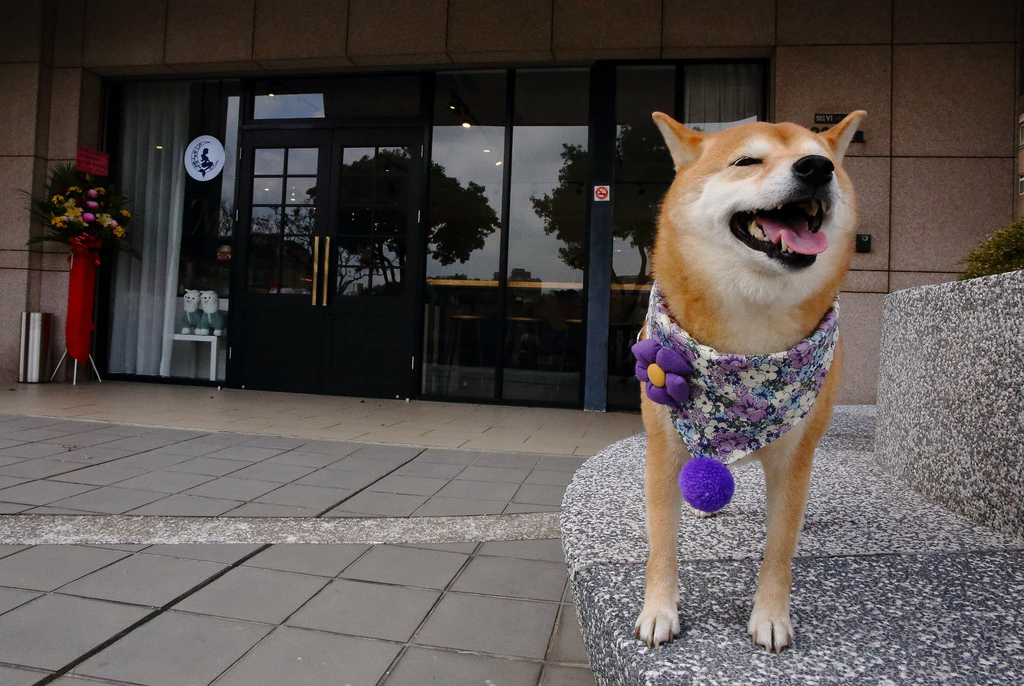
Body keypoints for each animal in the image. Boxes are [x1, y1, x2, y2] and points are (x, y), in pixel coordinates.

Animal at [634, 110, 868, 651]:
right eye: (747, 161)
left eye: (820, 158)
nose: (816, 169)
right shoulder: (663, 448)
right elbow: (662, 545)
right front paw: (658, 611)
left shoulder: (794, 459)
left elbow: (780, 547)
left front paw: (771, 616)